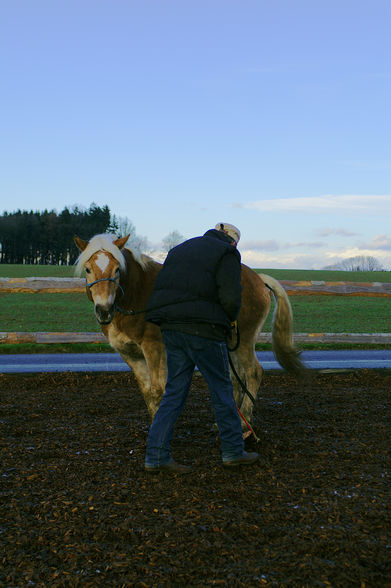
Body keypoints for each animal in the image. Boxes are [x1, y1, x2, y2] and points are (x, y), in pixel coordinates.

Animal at [74, 233, 306, 432]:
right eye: (88, 269)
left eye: (117, 269)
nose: (104, 310)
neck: (135, 294)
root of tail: (258, 278)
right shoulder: (130, 354)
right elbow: (147, 392)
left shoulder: (153, 348)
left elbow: (158, 391)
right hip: (229, 343)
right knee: (235, 377)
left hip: (243, 341)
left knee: (253, 373)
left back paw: (243, 423)